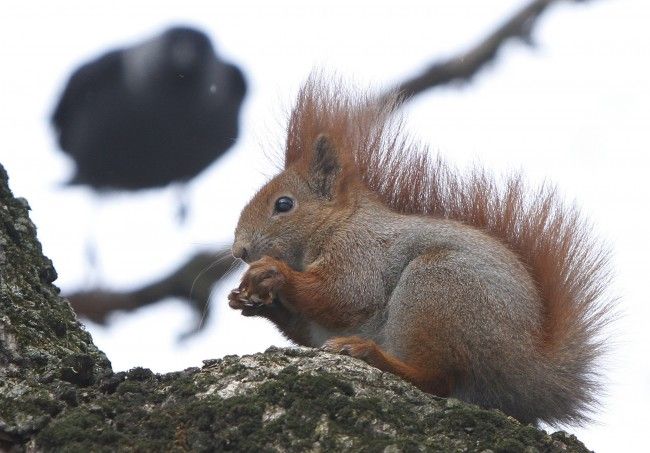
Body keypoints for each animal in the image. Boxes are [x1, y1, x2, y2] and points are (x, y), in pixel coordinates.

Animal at [225, 76, 612, 426]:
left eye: (284, 204)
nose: (240, 249)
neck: (339, 223)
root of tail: (529, 373)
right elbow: (308, 327)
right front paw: (253, 302)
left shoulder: (361, 252)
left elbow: (343, 296)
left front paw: (273, 273)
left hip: (437, 288)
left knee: (437, 380)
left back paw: (369, 355)